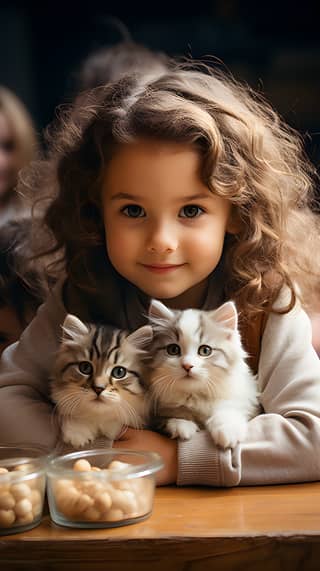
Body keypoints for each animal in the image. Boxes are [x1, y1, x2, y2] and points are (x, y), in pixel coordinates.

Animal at [148, 300, 260, 452]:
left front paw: (228, 431)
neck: (196, 395)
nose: (187, 366)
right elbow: (174, 413)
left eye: (205, 351)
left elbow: (227, 410)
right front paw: (181, 424)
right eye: (173, 350)